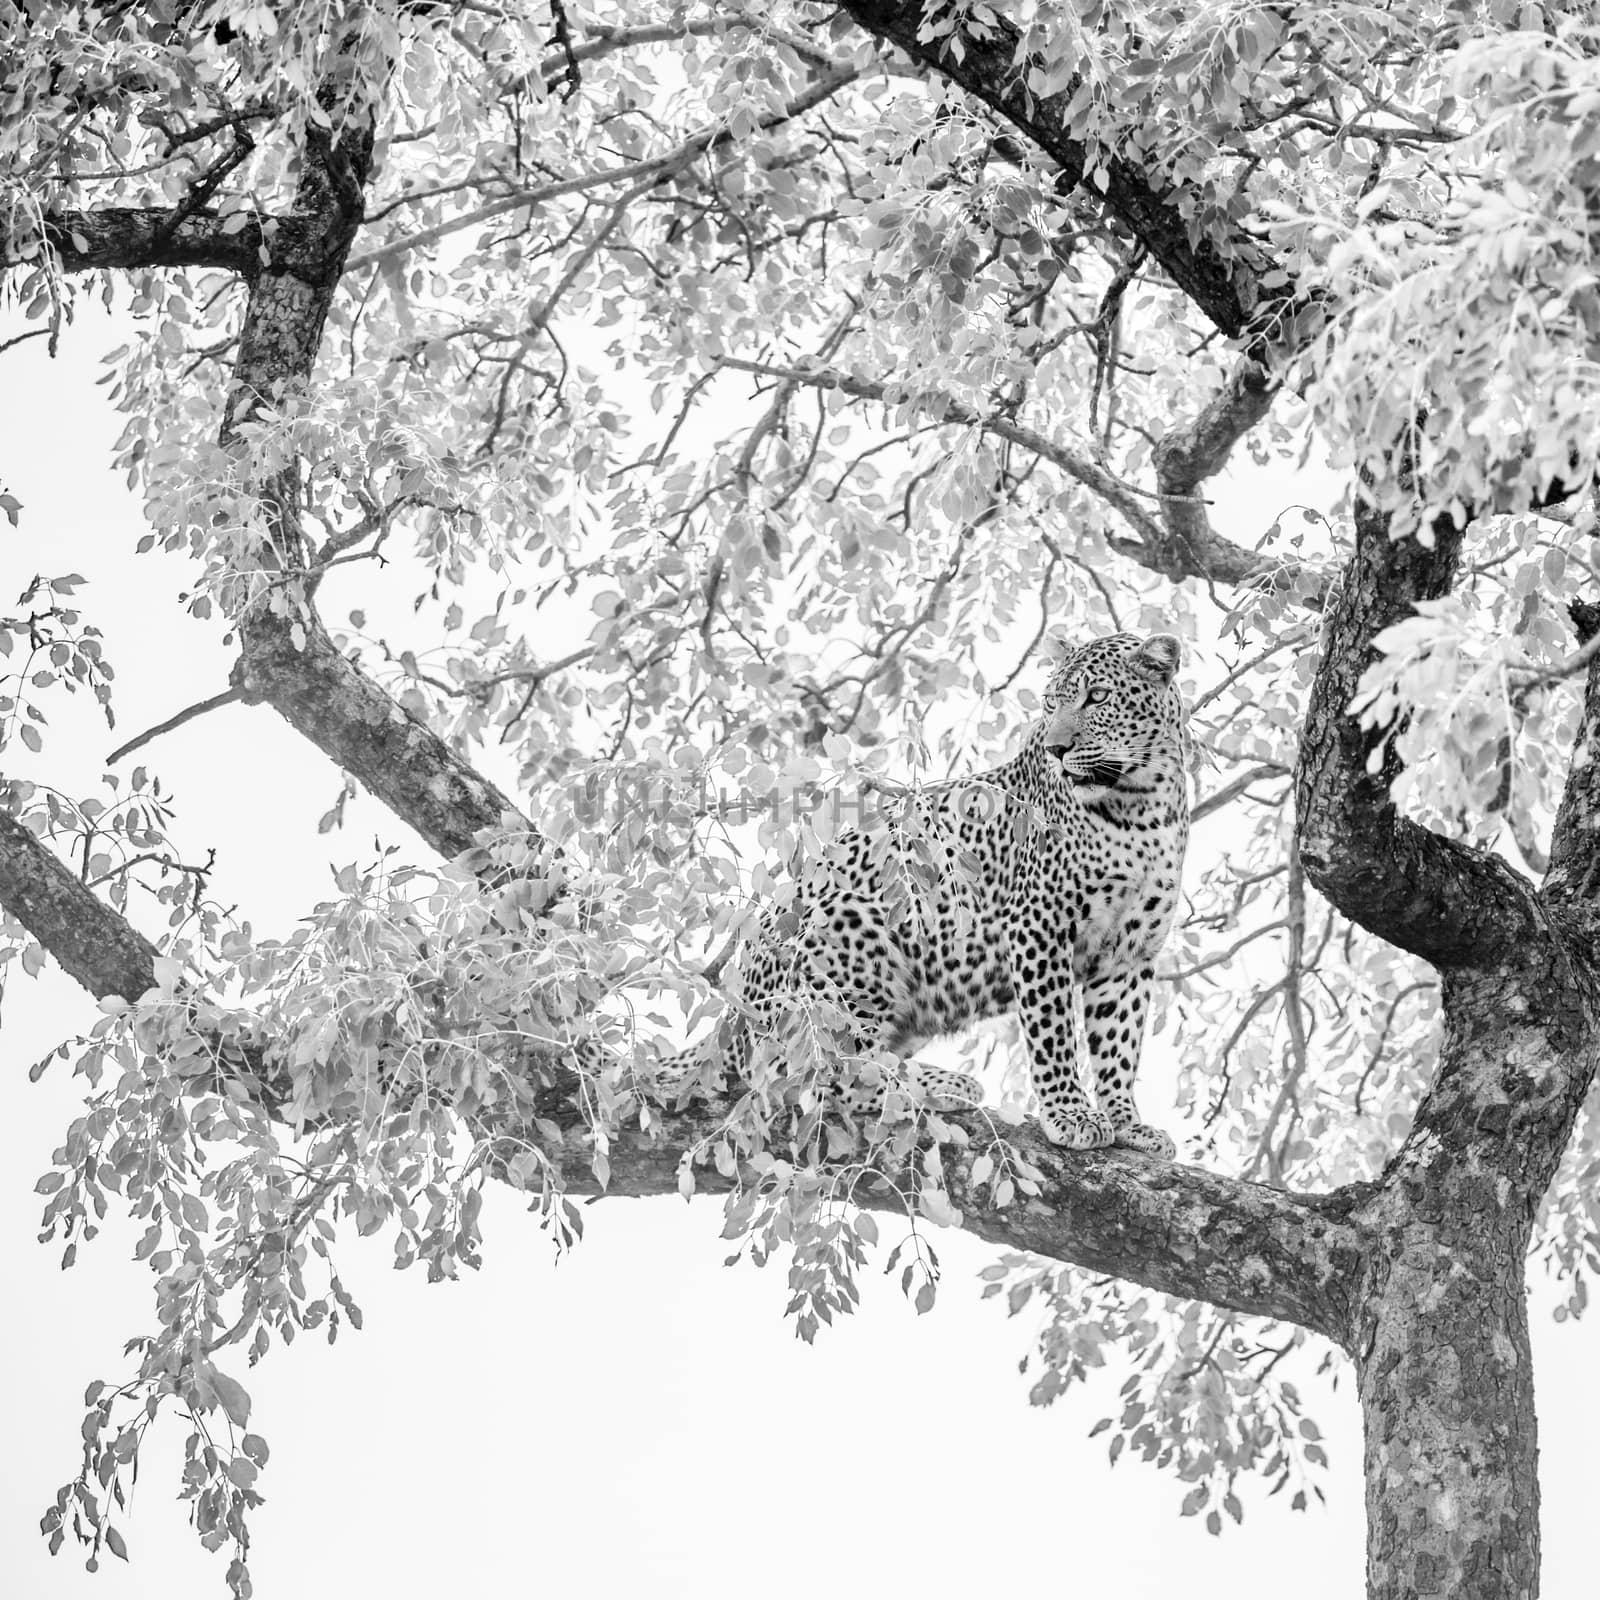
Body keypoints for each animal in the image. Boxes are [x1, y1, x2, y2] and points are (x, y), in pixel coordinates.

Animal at [672, 627, 1190, 1164]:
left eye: (1099, 696)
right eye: (1051, 702)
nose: (1056, 748)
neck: (1139, 802)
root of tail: (733, 1016)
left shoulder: (1130, 951)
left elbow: (1119, 1043)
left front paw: (1127, 1123)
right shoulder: (1039, 925)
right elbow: (1054, 1032)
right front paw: (1069, 1112)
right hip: (845, 928)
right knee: (821, 1070)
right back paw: (941, 1084)